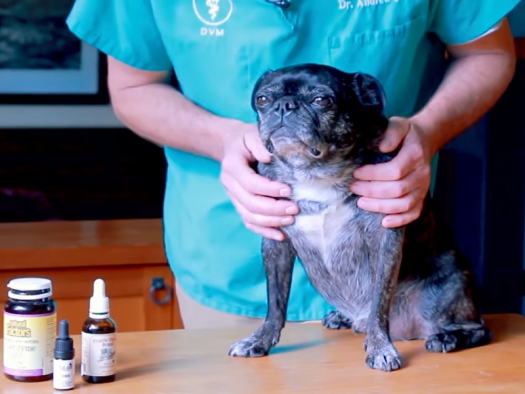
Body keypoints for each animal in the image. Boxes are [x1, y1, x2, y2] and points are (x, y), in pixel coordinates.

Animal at [226, 63, 492, 370]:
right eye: (263, 99)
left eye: (322, 100)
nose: (284, 105)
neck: (315, 172)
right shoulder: (275, 241)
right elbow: (275, 304)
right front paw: (259, 340)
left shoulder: (385, 242)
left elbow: (379, 303)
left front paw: (380, 347)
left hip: (446, 293)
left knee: (480, 329)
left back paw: (448, 337)